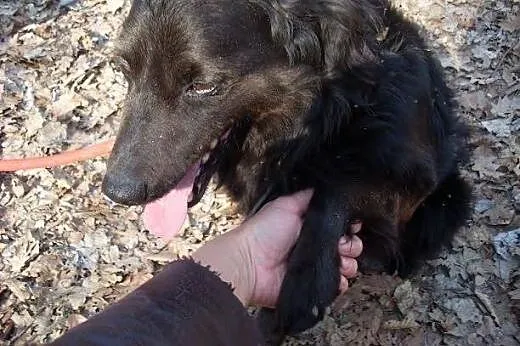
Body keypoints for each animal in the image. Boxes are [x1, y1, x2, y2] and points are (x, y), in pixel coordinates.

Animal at [101, 0, 472, 344]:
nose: (117, 191)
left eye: (203, 86)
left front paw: (309, 277)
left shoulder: (410, 179)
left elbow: (341, 186)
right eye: (123, 71)